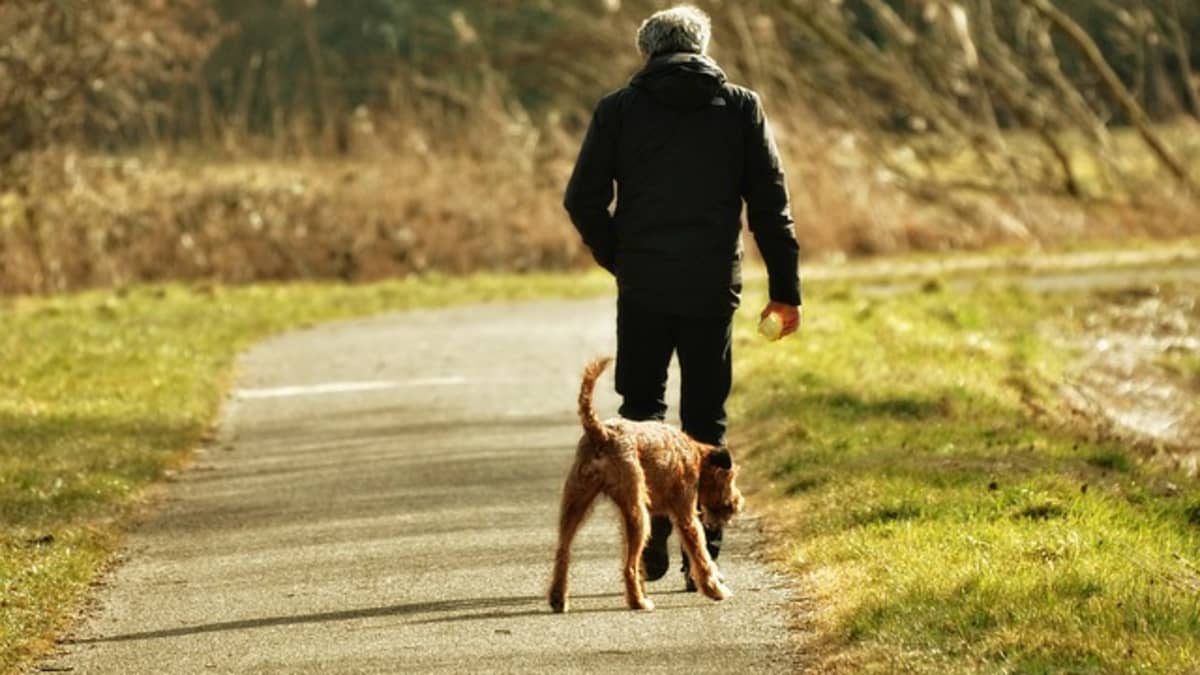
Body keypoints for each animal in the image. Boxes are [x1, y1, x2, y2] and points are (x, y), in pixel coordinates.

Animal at [549, 357, 739, 610]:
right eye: (731, 478)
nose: (737, 504)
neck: (694, 454)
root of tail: (602, 434)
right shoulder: (686, 516)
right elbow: (701, 555)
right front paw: (715, 590)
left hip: (576, 503)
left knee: (563, 552)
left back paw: (558, 598)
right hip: (638, 515)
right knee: (628, 566)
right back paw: (639, 601)